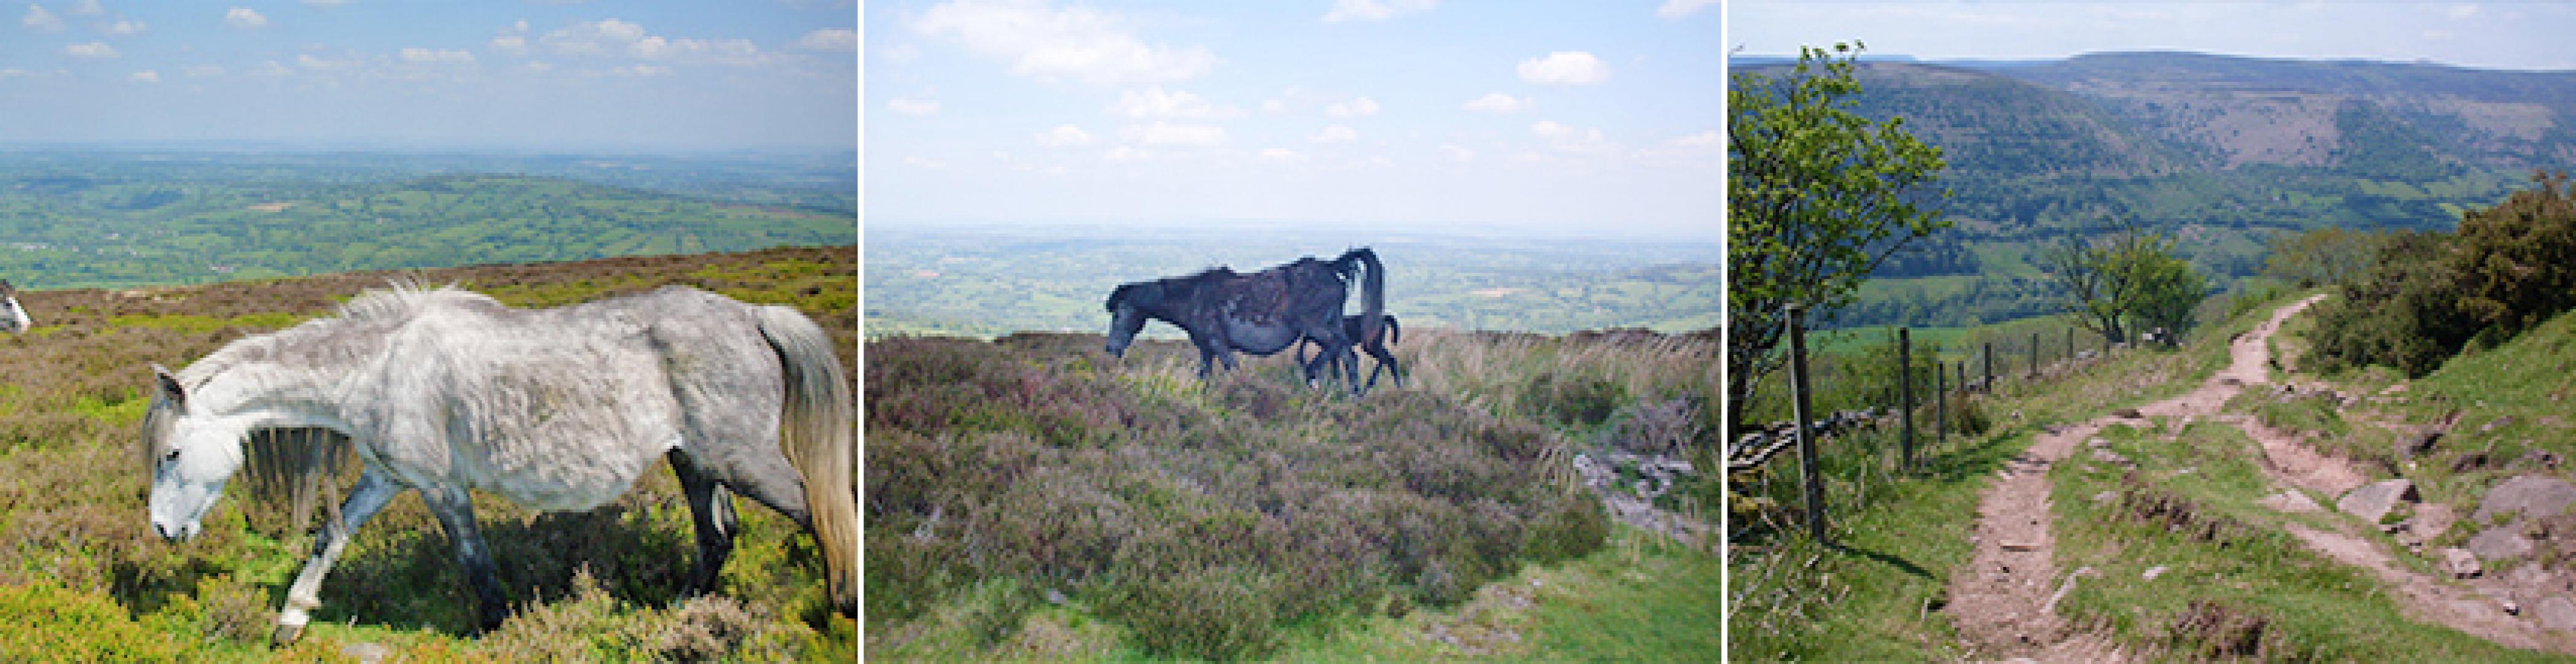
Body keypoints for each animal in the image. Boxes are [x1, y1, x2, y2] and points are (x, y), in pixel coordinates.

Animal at [143, 284, 855, 643]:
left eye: (172, 453)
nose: (162, 530)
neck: (378, 366)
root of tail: (754, 316)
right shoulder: (386, 477)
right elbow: (331, 537)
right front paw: (292, 619)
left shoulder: (439, 485)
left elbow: (473, 559)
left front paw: (495, 626)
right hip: (695, 462)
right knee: (718, 536)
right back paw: (680, 617)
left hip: (741, 459)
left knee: (820, 513)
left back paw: (841, 608)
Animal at [1107, 250, 1391, 393]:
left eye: (1117, 313)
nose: (1111, 348)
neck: (1193, 296)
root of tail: (1331, 267)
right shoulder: (1206, 350)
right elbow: (1204, 378)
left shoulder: (1219, 344)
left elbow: (1233, 370)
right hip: (1331, 324)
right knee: (1349, 356)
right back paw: (1354, 396)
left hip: (1317, 327)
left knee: (1337, 347)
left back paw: (1312, 374)